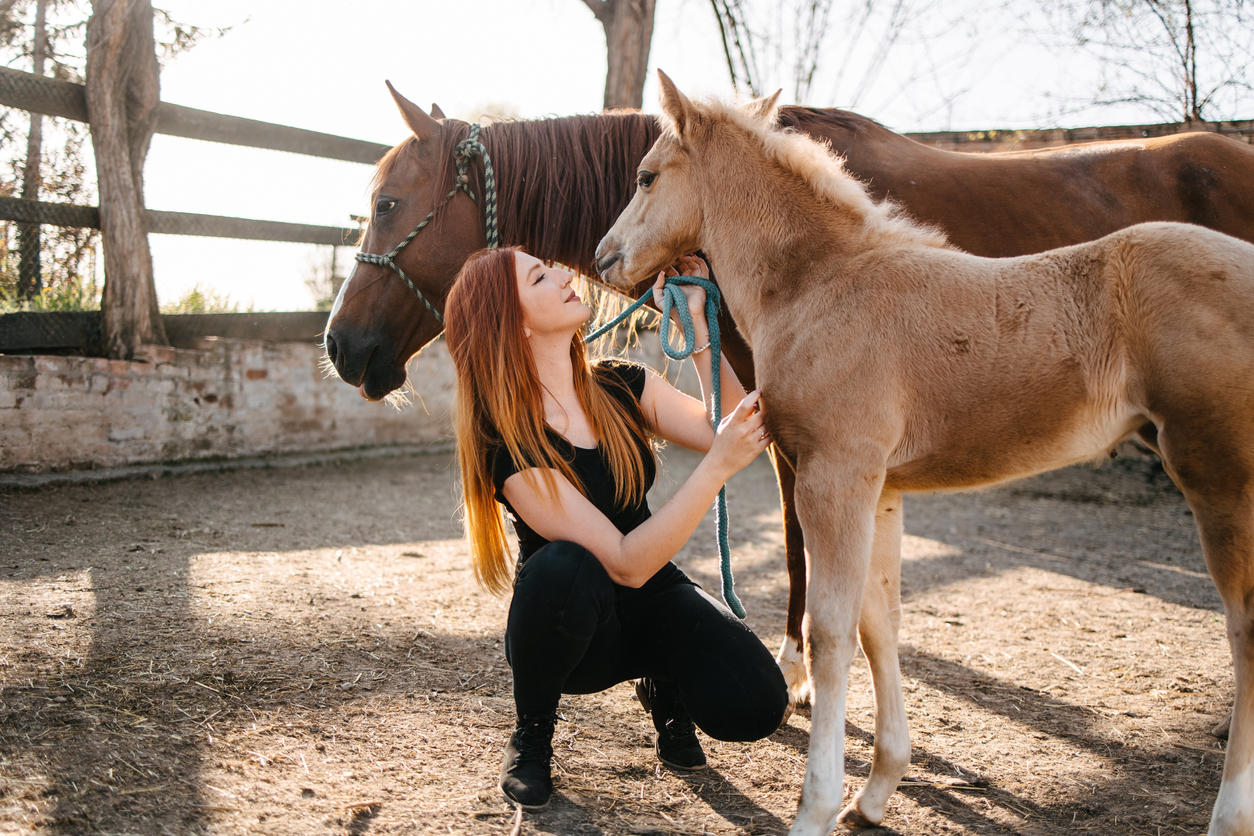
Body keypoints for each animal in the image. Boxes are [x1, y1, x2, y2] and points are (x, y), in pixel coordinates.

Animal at [591, 72, 1254, 836]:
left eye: (646, 176)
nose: (605, 256)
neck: (823, 284)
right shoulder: (880, 488)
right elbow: (880, 623)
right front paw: (876, 791)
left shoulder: (836, 476)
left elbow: (831, 631)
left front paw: (816, 808)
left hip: (1218, 474)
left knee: (1246, 629)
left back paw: (1229, 816)